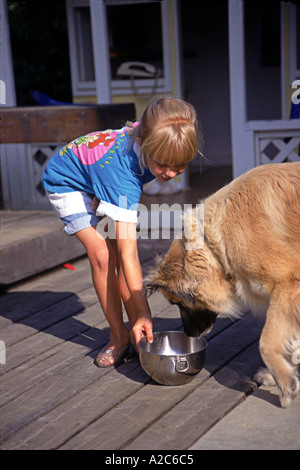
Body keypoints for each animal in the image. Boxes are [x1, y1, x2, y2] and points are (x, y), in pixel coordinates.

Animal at [146, 162, 300, 408]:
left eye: (177, 303)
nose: (189, 335)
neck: (212, 242)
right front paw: (279, 374)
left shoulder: (288, 284)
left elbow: (267, 341)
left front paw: (285, 385)